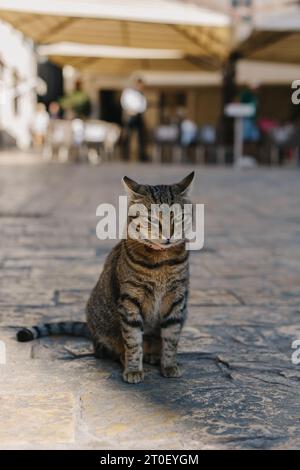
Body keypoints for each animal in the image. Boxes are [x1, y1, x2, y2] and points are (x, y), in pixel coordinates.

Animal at [17, 173, 195, 382]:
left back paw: (153, 355)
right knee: (106, 349)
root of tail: (91, 330)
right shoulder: (130, 301)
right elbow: (133, 340)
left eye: (178, 218)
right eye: (152, 219)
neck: (161, 261)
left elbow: (171, 337)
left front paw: (169, 365)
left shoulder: (177, 300)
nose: (168, 235)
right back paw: (124, 357)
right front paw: (133, 369)